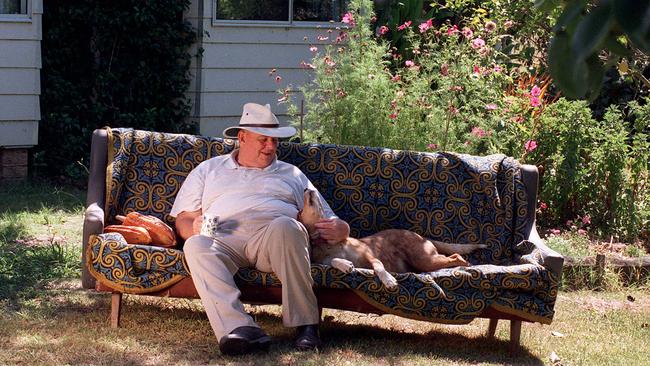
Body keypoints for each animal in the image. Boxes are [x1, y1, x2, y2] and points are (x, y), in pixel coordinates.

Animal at [296, 189, 484, 288]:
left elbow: (379, 267)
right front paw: (345, 265)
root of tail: (421, 236)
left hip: (426, 259)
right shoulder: (322, 262)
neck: (329, 244)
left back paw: (466, 265)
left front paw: (388, 280)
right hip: (427, 261)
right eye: (300, 210)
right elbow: (335, 261)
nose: (306, 189)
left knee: (455, 256)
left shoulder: (370, 255)